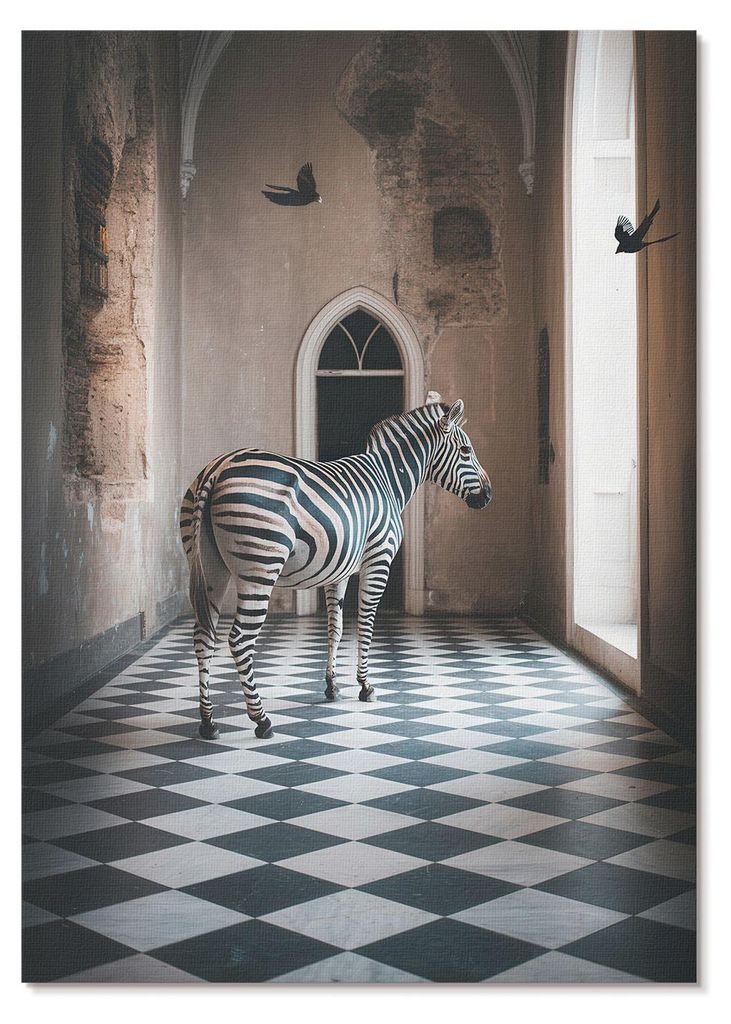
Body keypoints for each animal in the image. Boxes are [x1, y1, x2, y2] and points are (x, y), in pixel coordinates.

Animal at [179, 393, 492, 740]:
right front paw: (365, 686)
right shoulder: (378, 559)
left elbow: (336, 628)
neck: (389, 480)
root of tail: (218, 467)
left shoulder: (338, 571)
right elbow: (366, 624)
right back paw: (261, 719)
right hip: (260, 567)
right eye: (466, 451)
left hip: (210, 568)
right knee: (239, 640)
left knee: (203, 637)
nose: (489, 495)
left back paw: (208, 721)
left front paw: (332, 686)